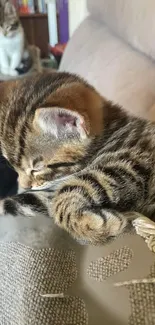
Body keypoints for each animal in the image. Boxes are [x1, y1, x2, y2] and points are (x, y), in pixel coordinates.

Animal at [0, 71, 154, 243]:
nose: (23, 185)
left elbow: (69, 192)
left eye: (37, 169)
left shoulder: (133, 161)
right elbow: (24, 202)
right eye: (13, 167)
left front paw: (90, 225)